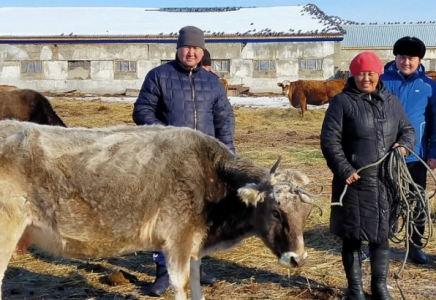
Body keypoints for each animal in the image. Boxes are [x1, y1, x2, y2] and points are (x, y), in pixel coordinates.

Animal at [0, 120, 318, 300]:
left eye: (306, 215)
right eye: (276, 212)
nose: (298, 258)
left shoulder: (193, 246)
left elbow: (197, 288)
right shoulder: (177, 240)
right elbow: (182, 286)